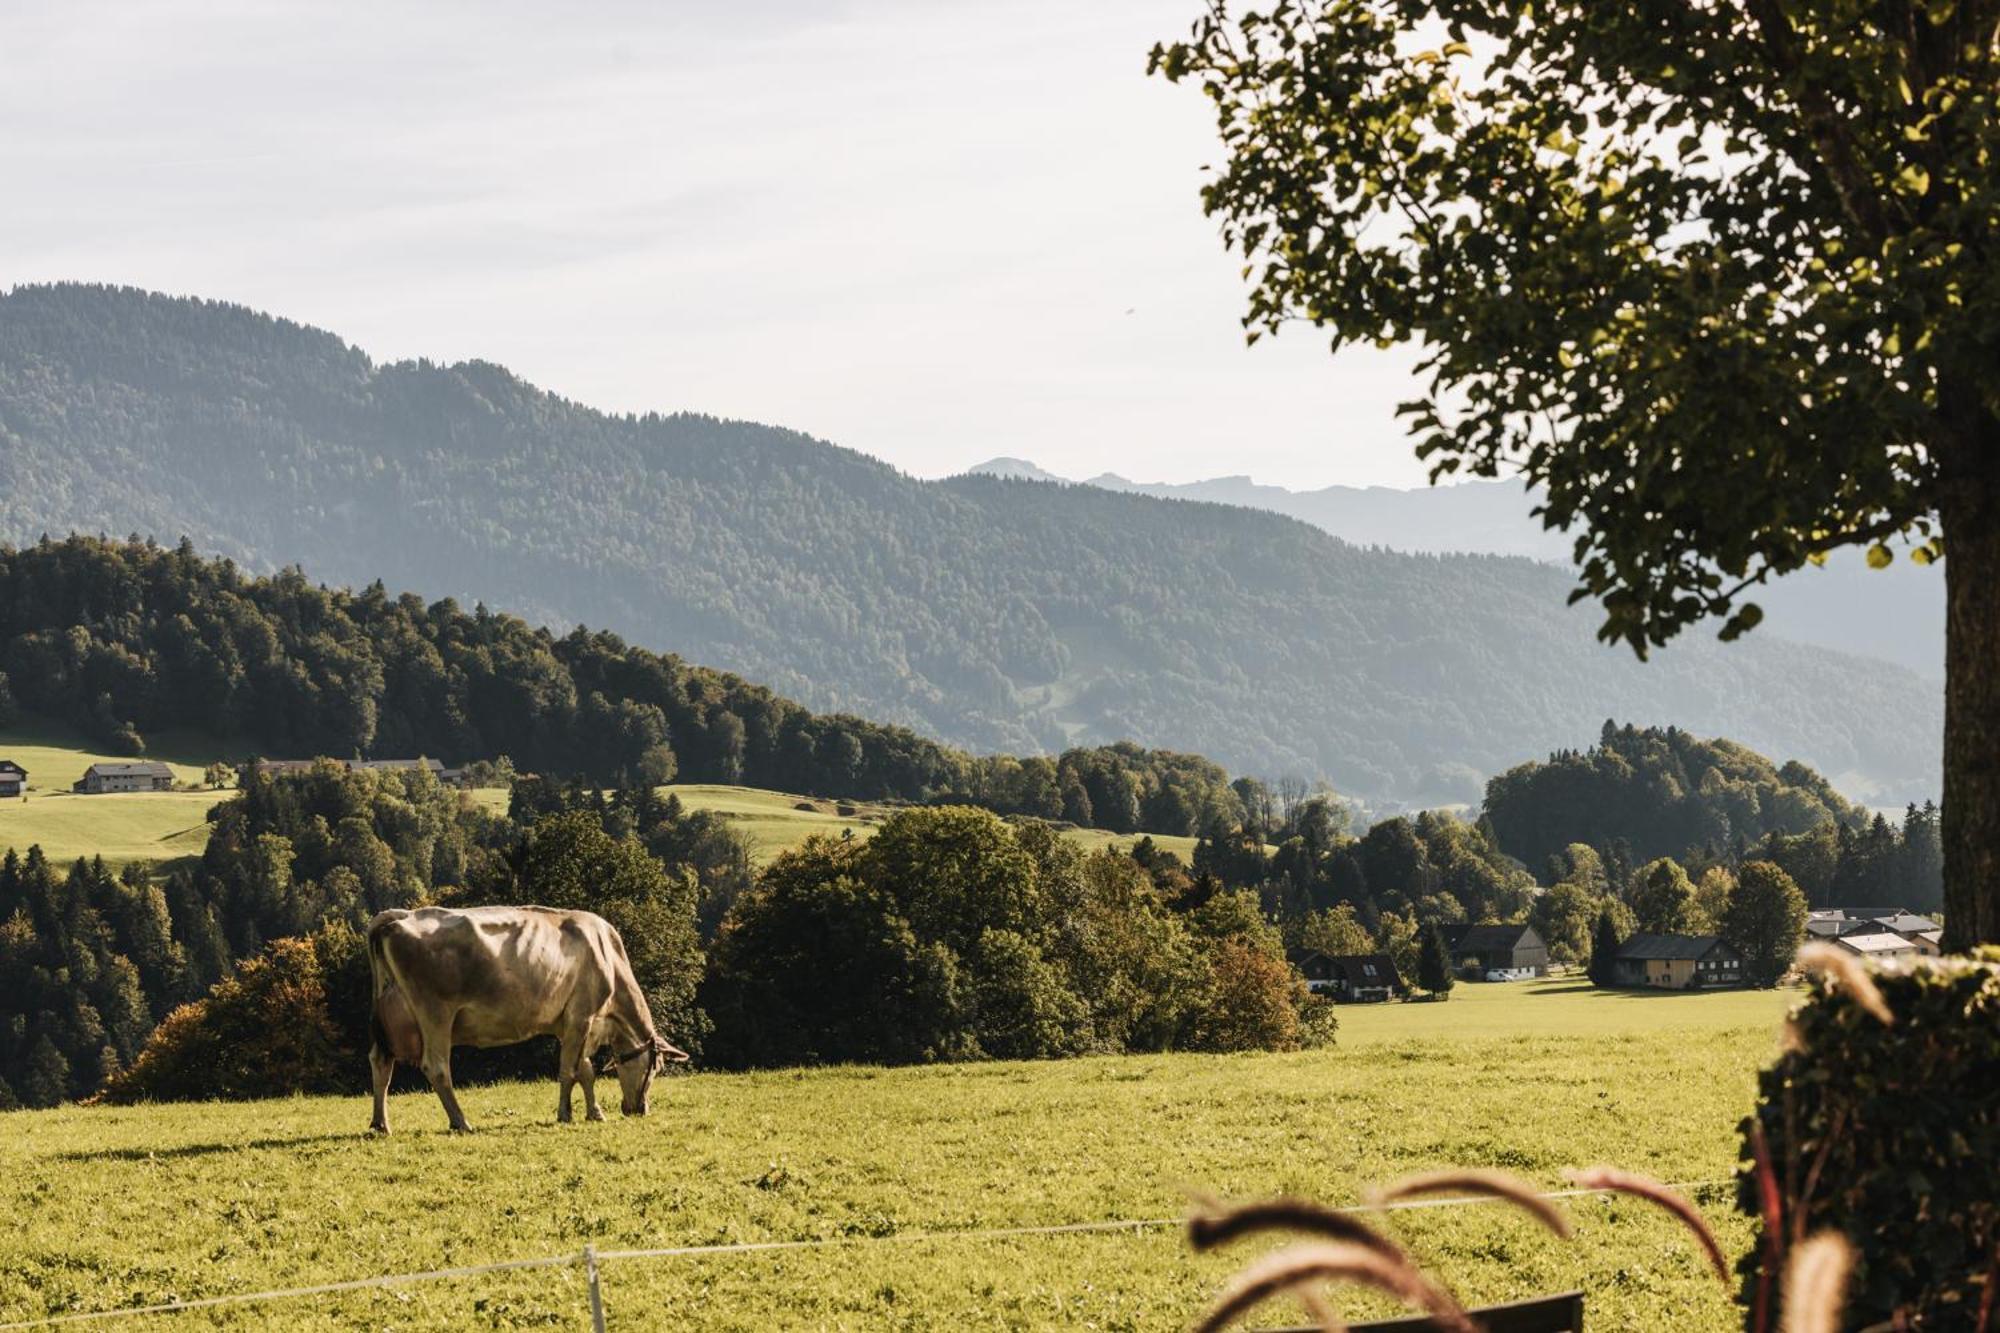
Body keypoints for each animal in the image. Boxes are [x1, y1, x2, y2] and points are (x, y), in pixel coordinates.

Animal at [368, 896, 688, 1128]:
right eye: (657, 1068)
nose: (639, 1109)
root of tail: (401, 915)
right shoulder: (582, 1016)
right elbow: (569, 1070)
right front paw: (565, 1114)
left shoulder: (577, 1025)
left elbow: (585, 1070)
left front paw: (595, 1113)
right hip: (435, 1013)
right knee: (436, 1066)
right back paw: (461, 1121)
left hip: (391, 1015)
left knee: (381, 1063)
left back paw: (380, 1124)